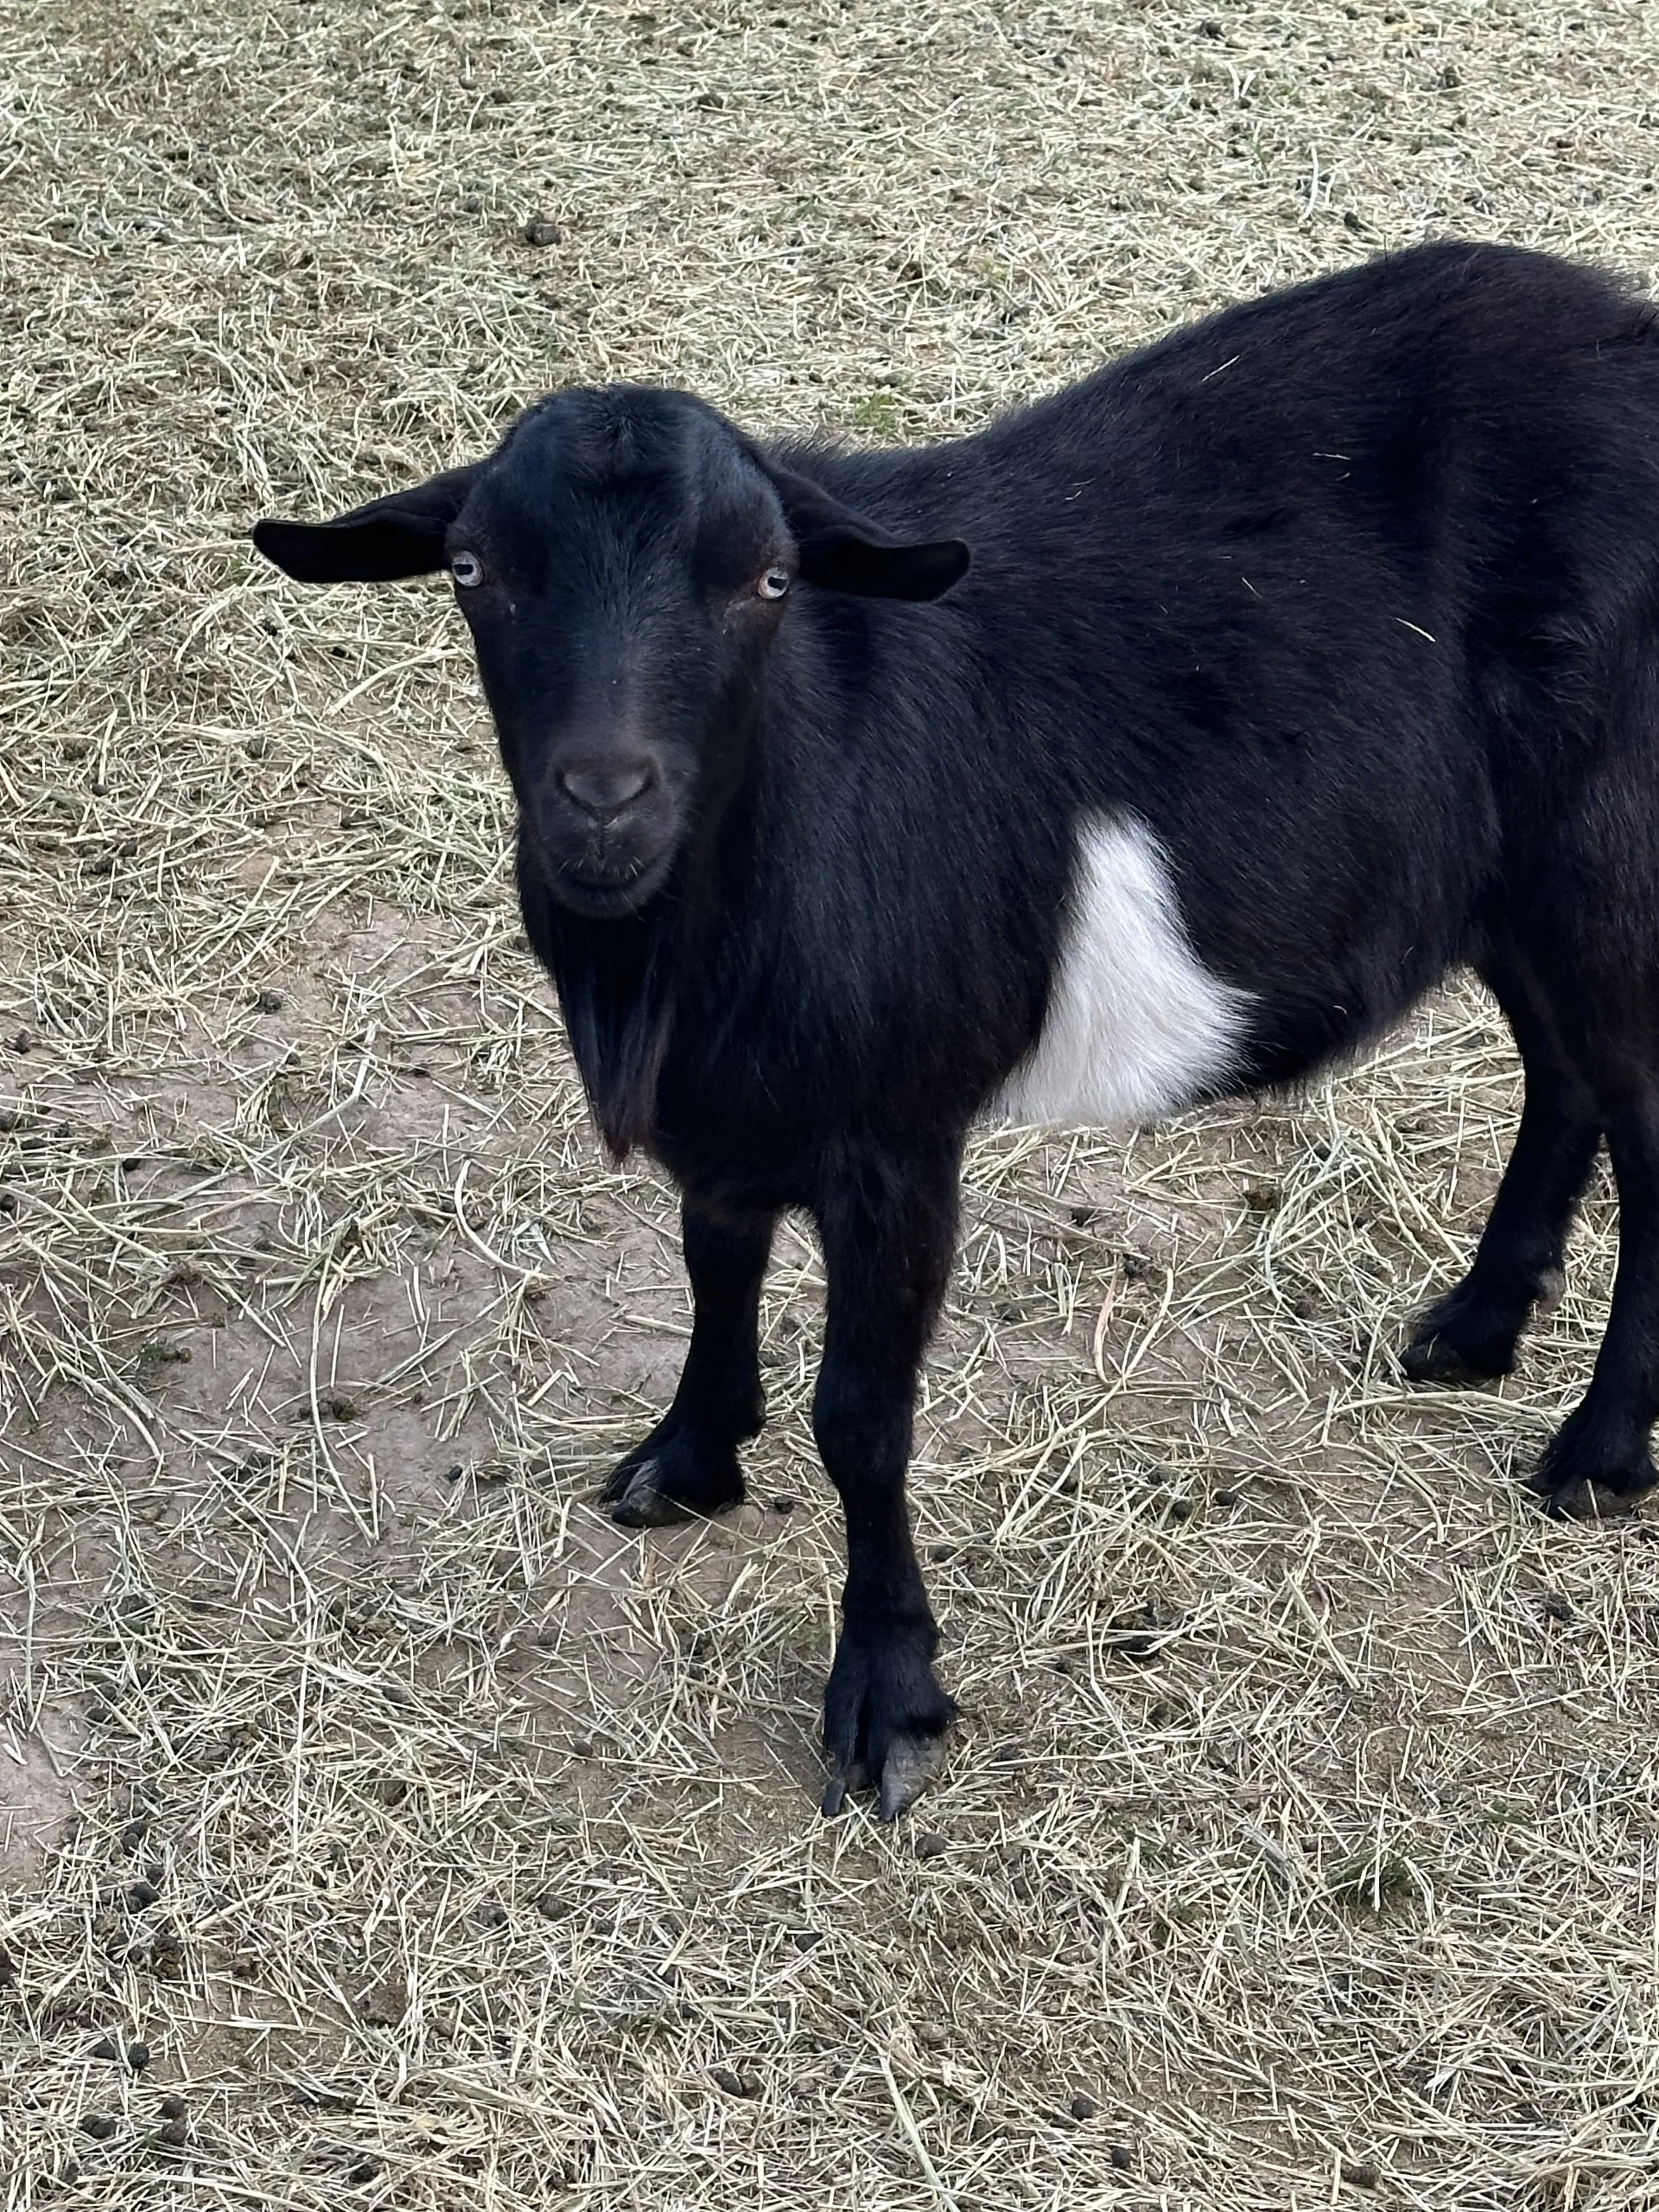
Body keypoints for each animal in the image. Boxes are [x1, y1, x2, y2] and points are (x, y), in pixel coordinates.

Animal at [255, 240, 1659, 1818]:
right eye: (473, 568)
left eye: (770, 577)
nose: (603, 802)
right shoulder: (729, 1112)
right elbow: (713, 1259)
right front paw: (688, 1456)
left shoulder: (895, 1132)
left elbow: (862, 1418)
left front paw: (888, 1700)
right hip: (1512, 880)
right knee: (1568, 1074)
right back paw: (1474, 1329)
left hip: (1605, 841)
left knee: (1644, 1116)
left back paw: (1601, 1451)